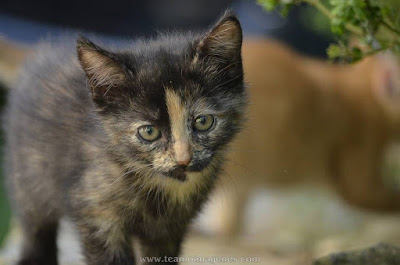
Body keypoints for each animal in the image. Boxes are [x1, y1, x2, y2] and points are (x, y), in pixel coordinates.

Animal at [3, 11, 247, 264]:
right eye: (149, 132)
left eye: (203, 121)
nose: (183, 160)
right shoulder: (96, 211)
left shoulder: (168, 230)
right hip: (28, 174)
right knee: (36, 224)